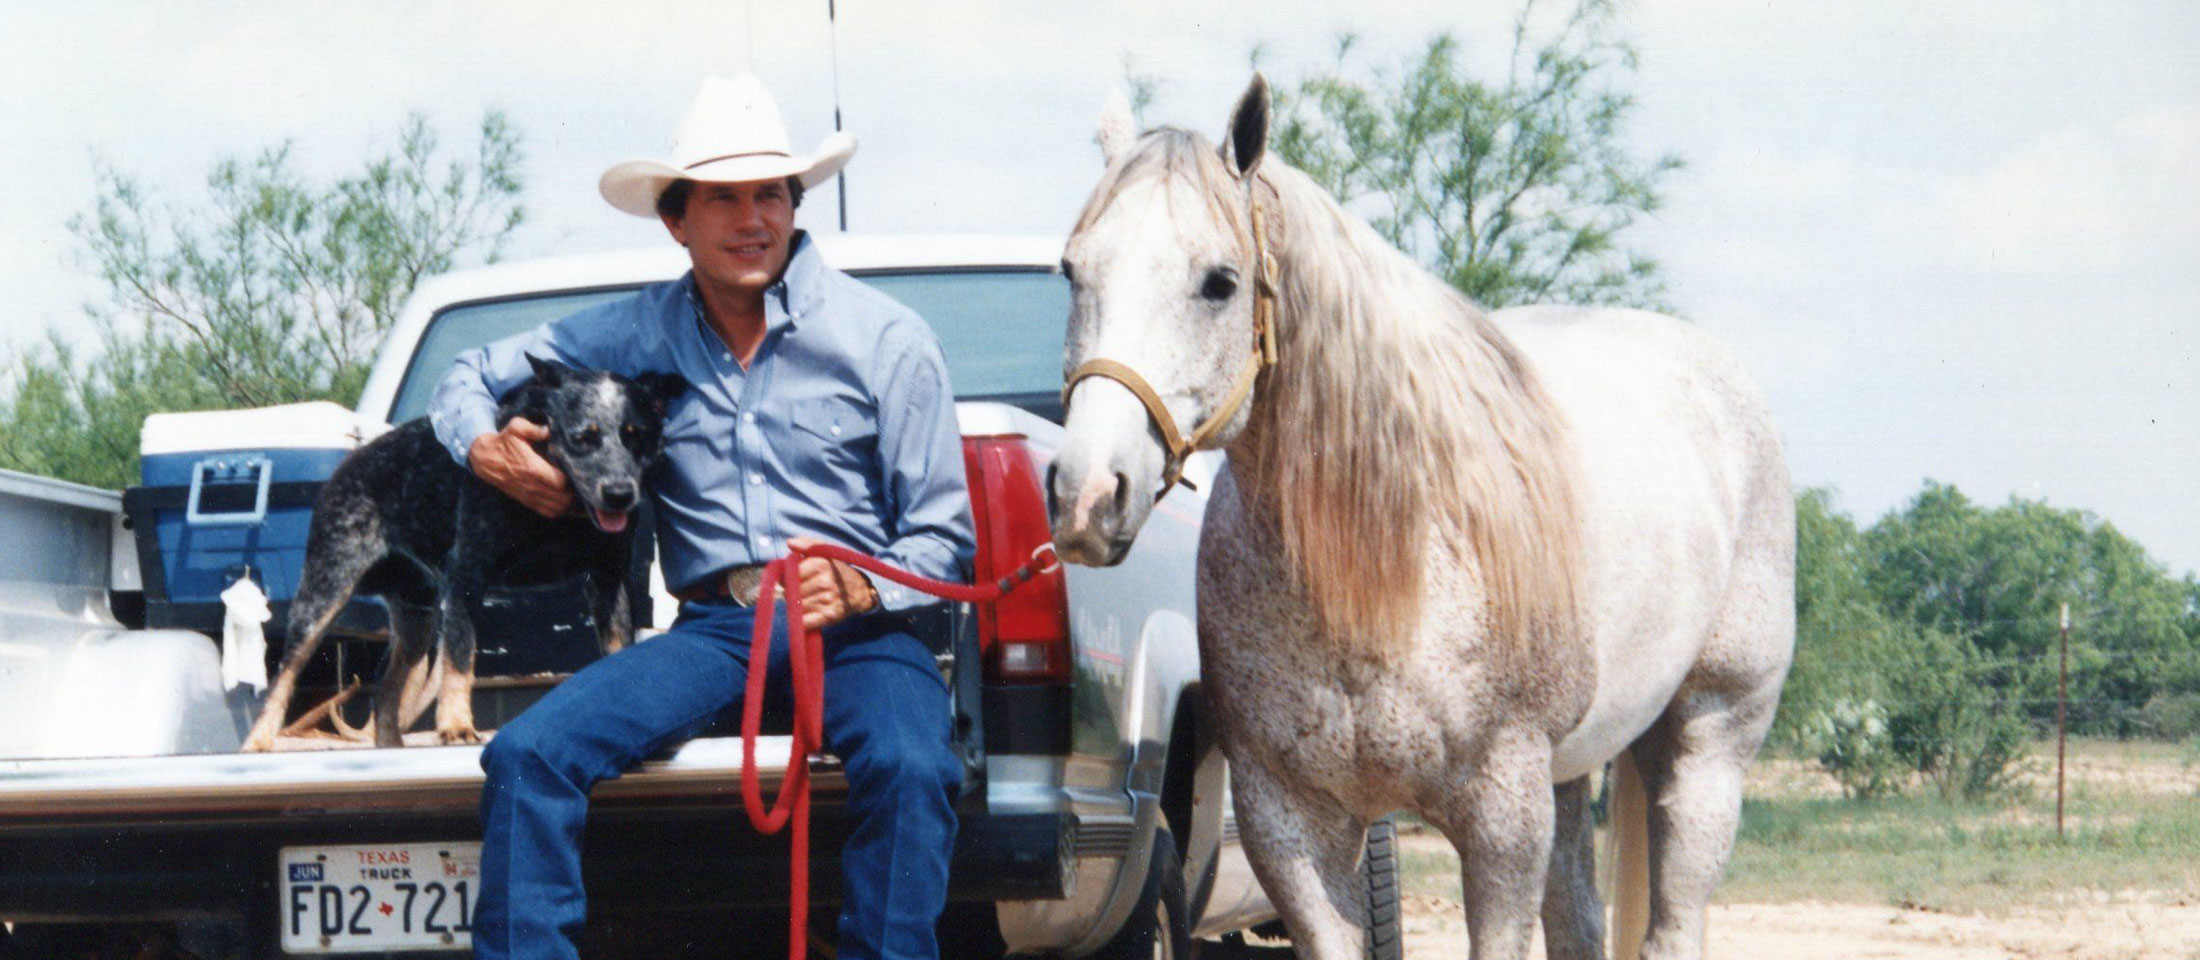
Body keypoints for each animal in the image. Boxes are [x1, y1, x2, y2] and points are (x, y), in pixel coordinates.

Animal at [239, 358, 686, 748]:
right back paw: (257, 742)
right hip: (325, 588)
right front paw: (456, 725)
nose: (619, 493)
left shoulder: (609, 578)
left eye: (636, 434)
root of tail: (346, 465)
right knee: (284, 674)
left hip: (416, 619)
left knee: (385, 686)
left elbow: (619, 650)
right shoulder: (466, 574)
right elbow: (459, 656)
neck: (556, 514)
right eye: (583, 436)